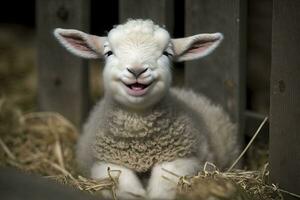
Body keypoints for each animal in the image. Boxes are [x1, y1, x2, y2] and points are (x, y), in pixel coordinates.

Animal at [52, 19, 238, 200]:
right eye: (109, 53)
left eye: (167, 53)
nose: (136, 70)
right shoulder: (105, 163)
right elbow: (123, 187)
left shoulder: (185, 158)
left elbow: (164, 186)